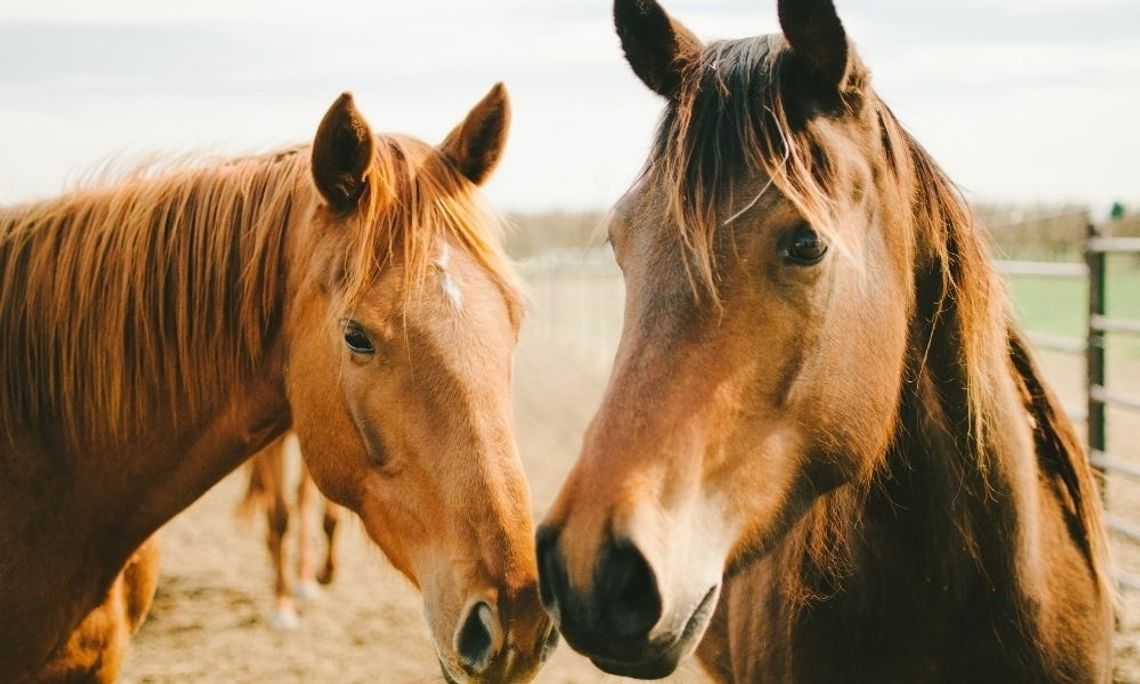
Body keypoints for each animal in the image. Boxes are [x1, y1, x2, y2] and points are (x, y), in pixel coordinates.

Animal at [240, 433, 342, 629]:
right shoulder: (271, 446)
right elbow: (279, 518)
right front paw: (282, 607)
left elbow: (331, 517)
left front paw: (325, 574)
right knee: (269, 501)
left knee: (302, 497)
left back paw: (305, 578)